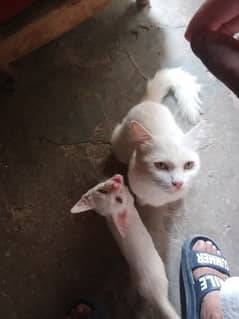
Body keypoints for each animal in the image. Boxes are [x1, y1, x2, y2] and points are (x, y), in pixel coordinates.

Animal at [111, 67, 204, 208]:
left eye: (188, 165)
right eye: (160, 165)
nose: (178, 183)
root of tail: (150, 102)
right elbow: (141, 199)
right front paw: (140, 203)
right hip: (119, 146)